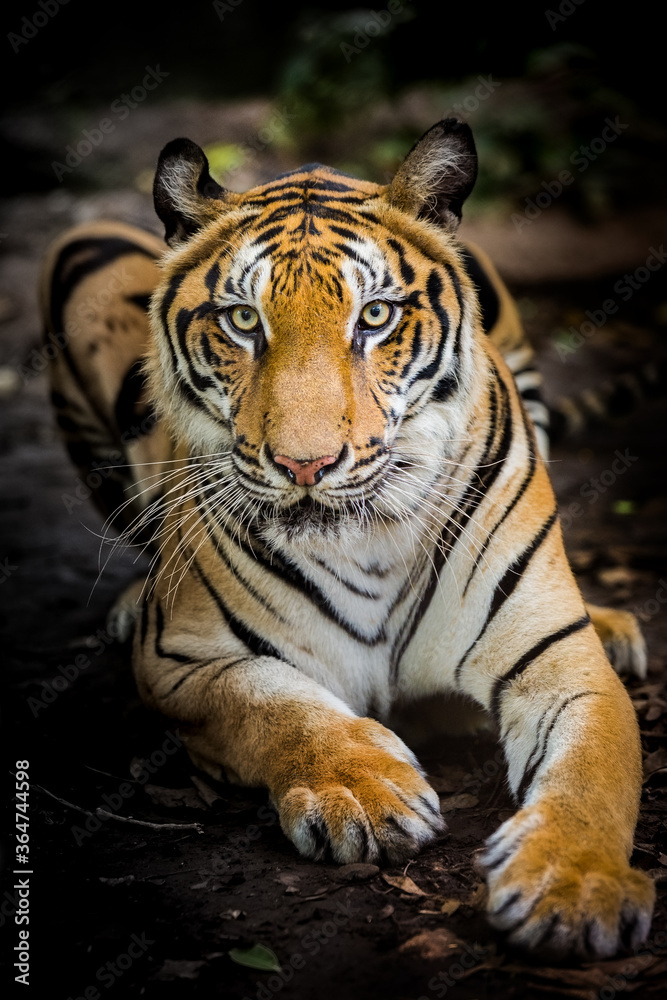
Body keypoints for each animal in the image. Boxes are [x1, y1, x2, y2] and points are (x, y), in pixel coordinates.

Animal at [40, 118, 654, 958]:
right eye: (242, 321)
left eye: (374, 318)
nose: (305, 464)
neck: (369, 538)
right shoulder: (182, 659)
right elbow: (272, 705)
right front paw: (365, 792)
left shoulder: (559, 664)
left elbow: (595, 767)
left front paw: (572, 887)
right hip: (80, 255)